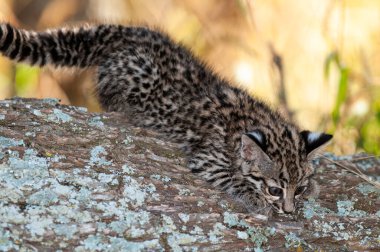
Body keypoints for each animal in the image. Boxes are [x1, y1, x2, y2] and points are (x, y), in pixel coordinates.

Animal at [0, 22, 332, 214]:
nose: (289, 211)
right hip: (135, 74)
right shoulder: (208, 158)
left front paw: (314, 187)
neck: (258, 120)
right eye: (274, 189)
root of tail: (126, 32)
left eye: (299, 188)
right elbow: (231, 178)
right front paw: (253, 198)